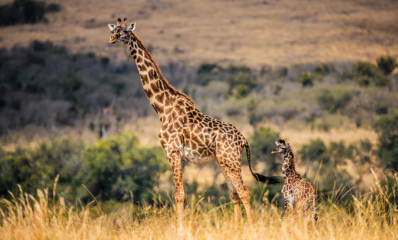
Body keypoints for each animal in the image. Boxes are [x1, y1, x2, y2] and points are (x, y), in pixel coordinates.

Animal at [106, 18, 280, 229]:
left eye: (124, 32)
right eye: (114, 30)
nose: (112, 39)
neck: (162, 107)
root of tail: (244, 140)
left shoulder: (172, 151)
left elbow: (179, 194)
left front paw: (181, 229)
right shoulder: (178, 154)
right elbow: (182, 193)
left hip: (230, 162)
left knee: (244, 191)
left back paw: (251, 228)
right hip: (225, 162)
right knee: (235, 194)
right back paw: (237, 228)